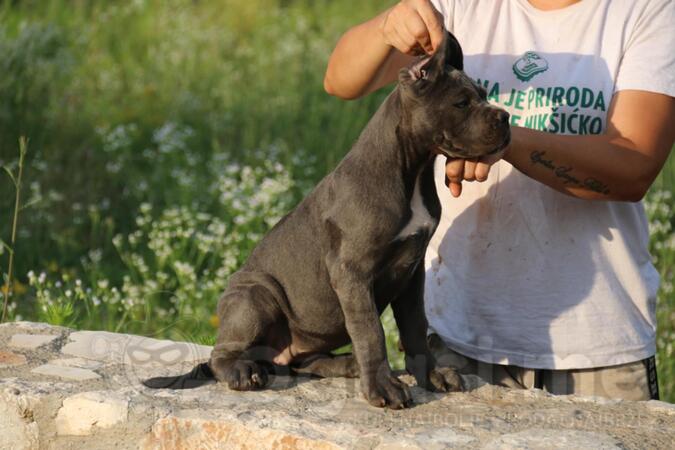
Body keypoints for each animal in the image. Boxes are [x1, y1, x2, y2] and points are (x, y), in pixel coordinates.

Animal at [145, 31, 510, 410]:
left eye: (483, 96)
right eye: (461, 103)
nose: (504, 118)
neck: (412, 170)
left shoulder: (411, 274)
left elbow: (414, 328)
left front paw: (432, 376)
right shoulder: (352, 271)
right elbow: (370, 331)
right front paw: (383, 387)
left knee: (303, 362)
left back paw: (346, 364)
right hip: (256, 298)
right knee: (221, 354)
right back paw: (243, 371)